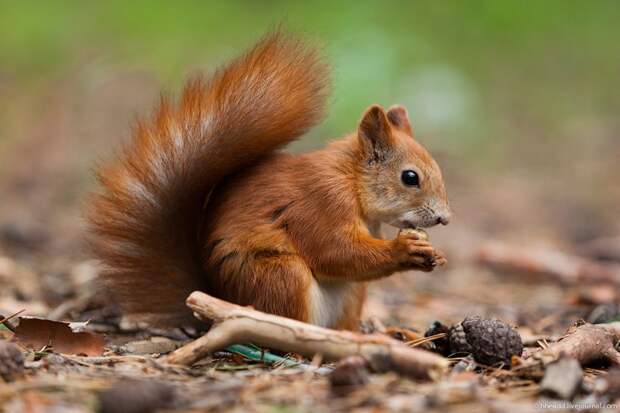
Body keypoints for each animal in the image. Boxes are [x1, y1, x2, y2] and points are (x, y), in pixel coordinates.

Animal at [87, 31, 450, 328]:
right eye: (410, 177)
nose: (444, 218)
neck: (351, 181)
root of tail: (218, 302)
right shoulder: (321, 204)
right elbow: (335, 251)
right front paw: (404, 249)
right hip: (279, 276)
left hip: (350, 295)